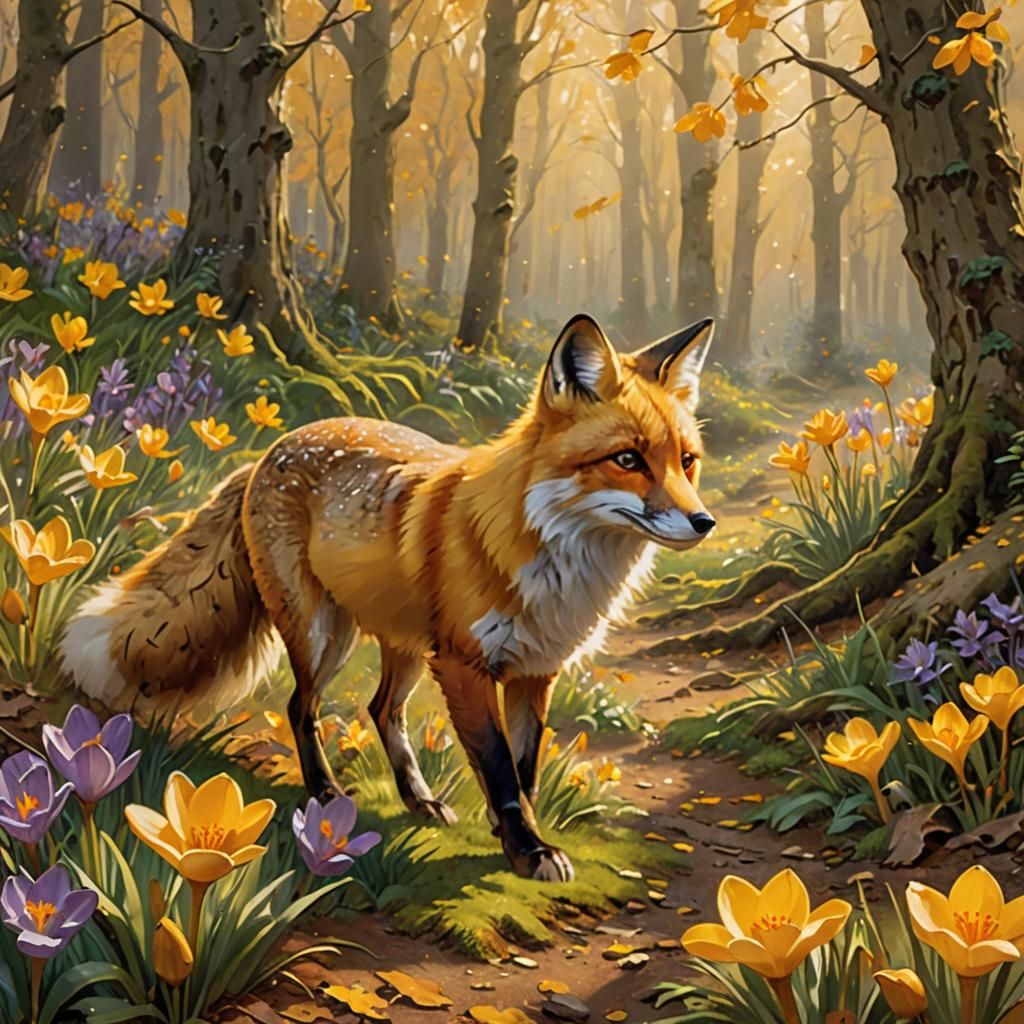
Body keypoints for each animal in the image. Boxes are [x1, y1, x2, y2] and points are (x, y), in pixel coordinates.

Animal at [62, 313, 716, 881]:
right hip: (323, 634)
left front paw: (513, 836)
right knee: (302, 708)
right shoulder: (465, 664)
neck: (556, 561)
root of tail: (272, 449)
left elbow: (525, 770)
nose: (703, 522)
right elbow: (501, 769)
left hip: (402, 644)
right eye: (627, 459)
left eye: (686, 462)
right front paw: (528, 849)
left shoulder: (536, 670)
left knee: (381, 710)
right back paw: (325, 793)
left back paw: (418, 799)